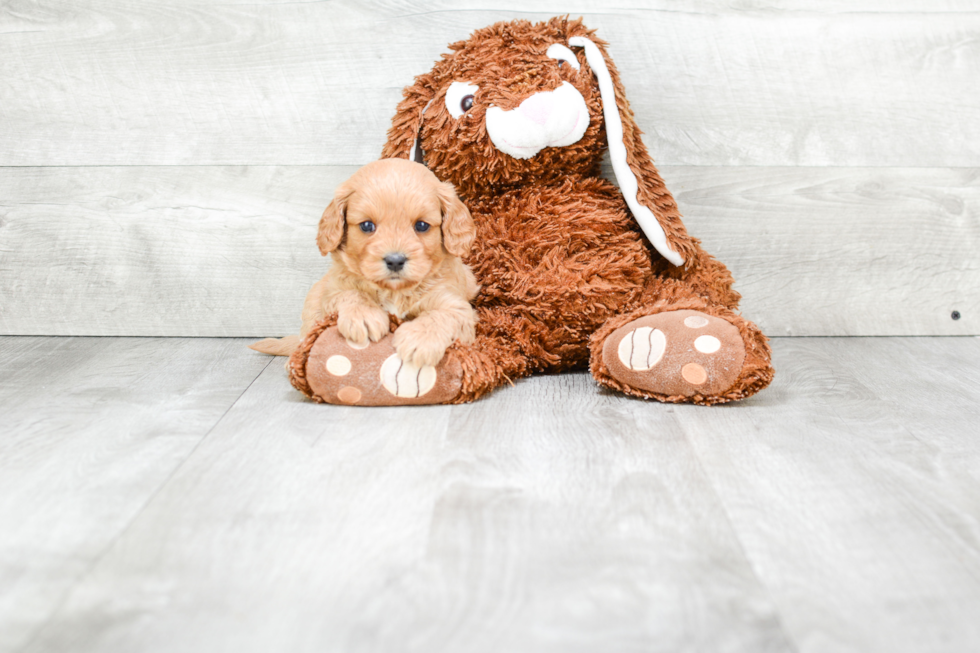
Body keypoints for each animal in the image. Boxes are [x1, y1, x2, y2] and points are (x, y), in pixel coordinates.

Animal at [253, 158, 478, 366]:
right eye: (367, 225)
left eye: (422, 225)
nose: (395, 261)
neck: (394, 292)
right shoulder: (334, 289)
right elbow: (351, 293)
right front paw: (364, 316)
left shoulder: (456, 305)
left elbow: (442, 314)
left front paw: (420, 340)